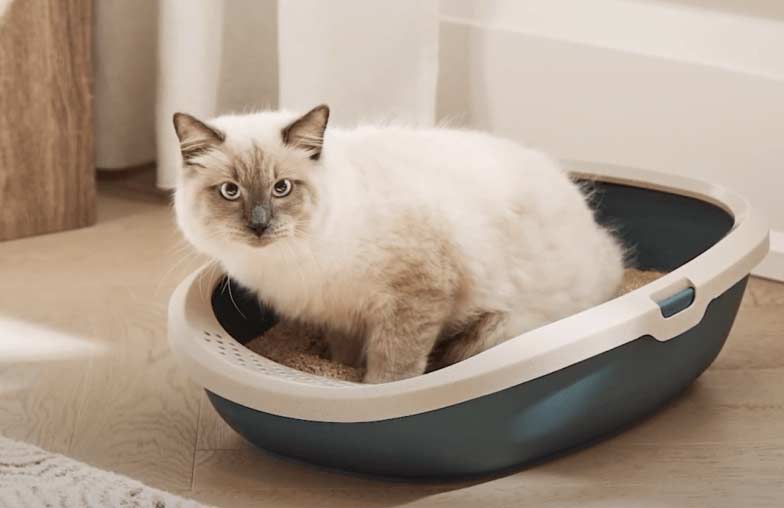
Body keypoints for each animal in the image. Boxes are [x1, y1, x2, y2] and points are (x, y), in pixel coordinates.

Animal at [173, 108, 624, 384]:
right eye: (230, 191)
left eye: (281, 188)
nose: (259, 226)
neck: (294, 258)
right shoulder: (341, 314)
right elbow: (343, 358)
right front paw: (341, 373)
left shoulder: (413, 296)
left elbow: (392, 369)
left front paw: (372, 391)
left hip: (496, 329)